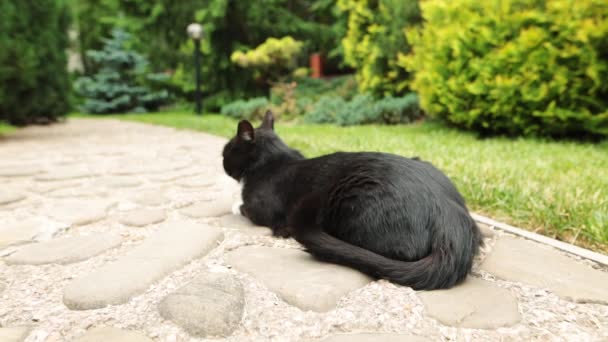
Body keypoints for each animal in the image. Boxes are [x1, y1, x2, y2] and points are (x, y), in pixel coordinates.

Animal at [221, 111, 482, 288]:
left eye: (226, 151)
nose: (222, 161)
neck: (275, 158)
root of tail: (449, 217)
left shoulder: (258, 209)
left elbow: (243, 207)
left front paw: (235, 204)